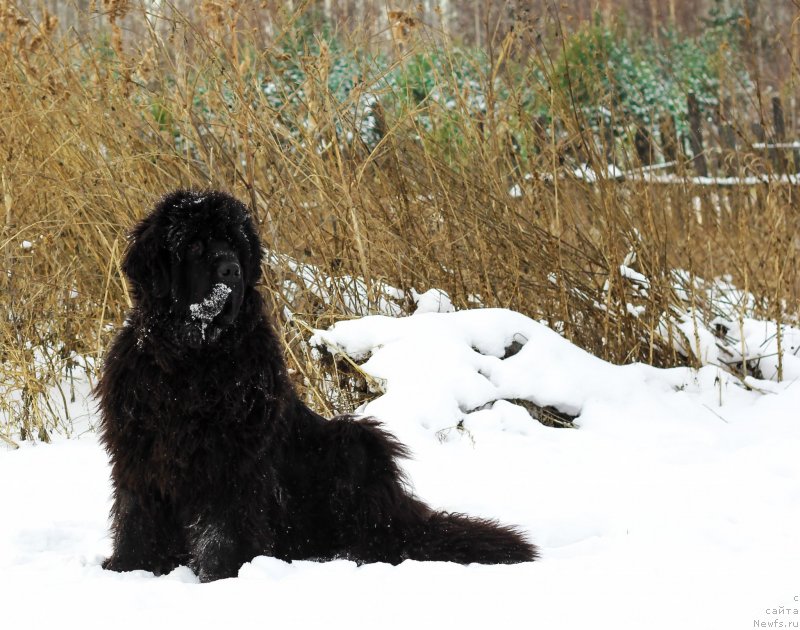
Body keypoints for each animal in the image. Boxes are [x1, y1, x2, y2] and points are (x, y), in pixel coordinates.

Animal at [98, 190, 536, 584]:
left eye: (234, 244)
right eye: (193, 244)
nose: (231, 271)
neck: (193, 359)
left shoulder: (234, 458)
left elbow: (225, 524)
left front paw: (222, 575)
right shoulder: (140, 451)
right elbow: (138, 513)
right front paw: (130, 569)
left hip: (354, 441)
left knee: (377, 533)